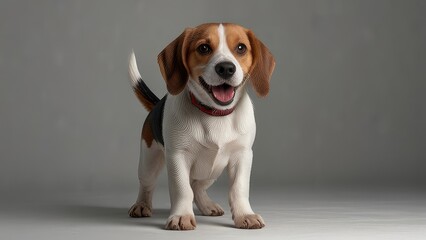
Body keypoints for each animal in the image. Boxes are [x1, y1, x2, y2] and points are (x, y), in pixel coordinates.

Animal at [126, 23, 274, 231]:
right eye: (203, 48)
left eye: (241, 48)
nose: (226, 68)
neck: (215, 114)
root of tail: (157, 104)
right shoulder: (178, 156)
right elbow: (182, 189)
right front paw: (181, 216)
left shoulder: (242, 155)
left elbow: (239, 188)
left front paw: (245, 214)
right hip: (149, 160)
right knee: (147, 185)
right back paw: (141, 205)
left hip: (213, 170)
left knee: (197, 186)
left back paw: (206, 205)